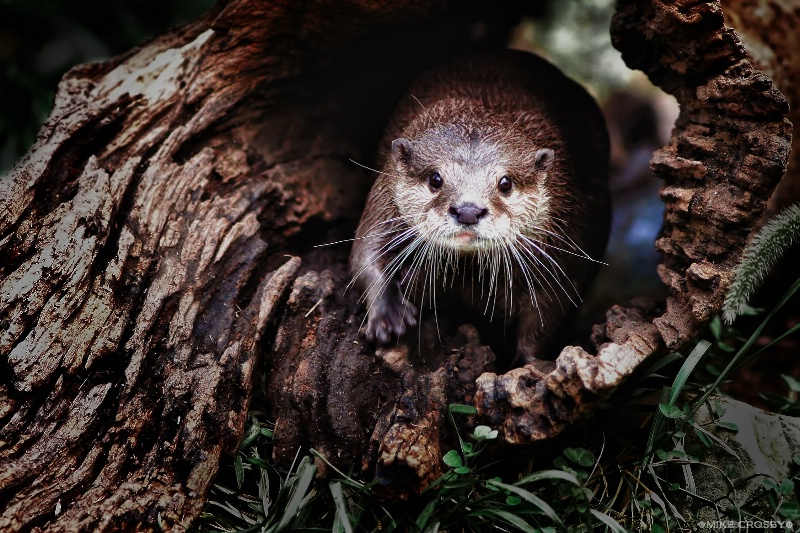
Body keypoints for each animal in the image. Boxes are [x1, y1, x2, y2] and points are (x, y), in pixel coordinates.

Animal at [346, 51, 608, 362]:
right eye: (435, 179)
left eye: (505, 183)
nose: (468, 211)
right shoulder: (386, 196)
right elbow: (365, 252)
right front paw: (388, 317)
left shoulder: (565, 230)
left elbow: (551, 305)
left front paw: (531, 362)